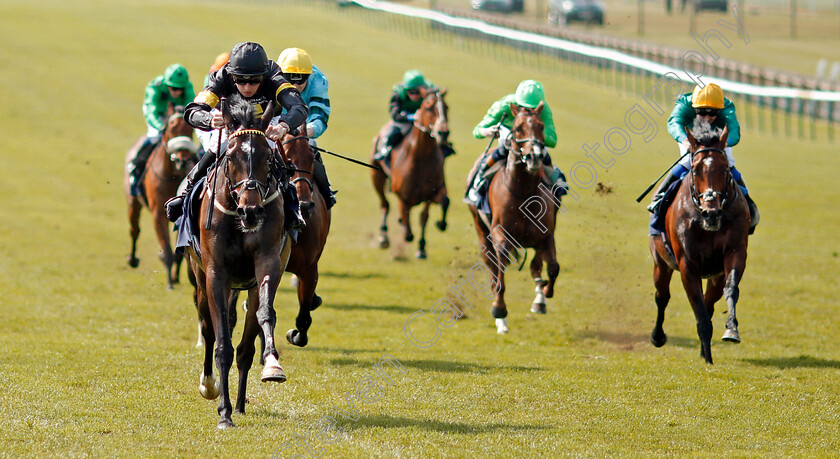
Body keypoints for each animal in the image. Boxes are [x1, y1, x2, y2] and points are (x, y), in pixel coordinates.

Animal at [124, 105, 196, 292]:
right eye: (171, 128)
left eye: (191, 130)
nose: (182, 160)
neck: (172, 175)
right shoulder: (159, 213)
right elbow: (168, 250)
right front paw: (169, 283)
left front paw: (176, 278)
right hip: (133, 201)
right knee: (134, 230)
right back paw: (132, 259)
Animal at [185, 98, 290, 432]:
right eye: (231, 156)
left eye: (268, 155)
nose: (251, 211)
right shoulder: (215, 273)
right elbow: (221, 345)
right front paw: (223, 412)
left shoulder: (267, 263)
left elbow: (263, 317)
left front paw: (272, 365)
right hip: (200, 277)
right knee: (208, 328)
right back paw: (210, 385)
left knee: (244, 344)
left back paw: (241, 403)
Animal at [370, 86, 450, 258]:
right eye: (428, 107)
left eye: (446, 107)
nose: (443, 133)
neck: (422, 159)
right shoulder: (403, 196)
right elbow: (408, 231)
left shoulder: (433, 191)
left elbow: (430, 213)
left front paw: (423, 247)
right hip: (376, 176)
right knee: (385, 204)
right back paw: (383, 237)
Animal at [466, 102, 556, 336]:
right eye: (517, 129)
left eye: (542, 126)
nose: (535, 156)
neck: (524, 193)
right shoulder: (500, 235)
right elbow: (501, 276)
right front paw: (499, 311)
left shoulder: (546, 235)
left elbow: (552, 268)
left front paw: (544, 295)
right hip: (480, 228)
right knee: (491, 264)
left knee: (535, 266)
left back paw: (539, 298)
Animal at [648, 124, 752, 364]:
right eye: (695, 170)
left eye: (725, 169)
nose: (711, 213)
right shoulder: (687, 263)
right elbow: (698, 307)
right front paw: (708, 359)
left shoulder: (734, 253)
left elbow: (730, 289)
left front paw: (731, 330)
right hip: (661, 262)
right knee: (662, 296)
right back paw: (658, 337)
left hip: (714, 275)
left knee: (709, 302)